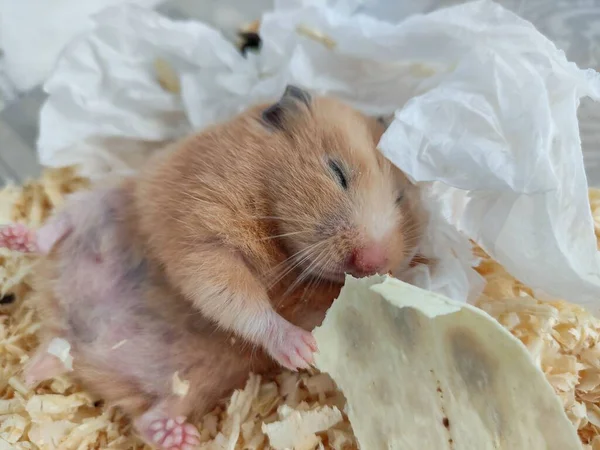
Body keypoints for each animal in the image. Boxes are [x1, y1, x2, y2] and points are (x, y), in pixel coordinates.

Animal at [136, 84, 426, 372]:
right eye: (337, 172)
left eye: (399, 199)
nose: (370, 262)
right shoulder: (200, 233)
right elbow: (235, 297)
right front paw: (305, 351)